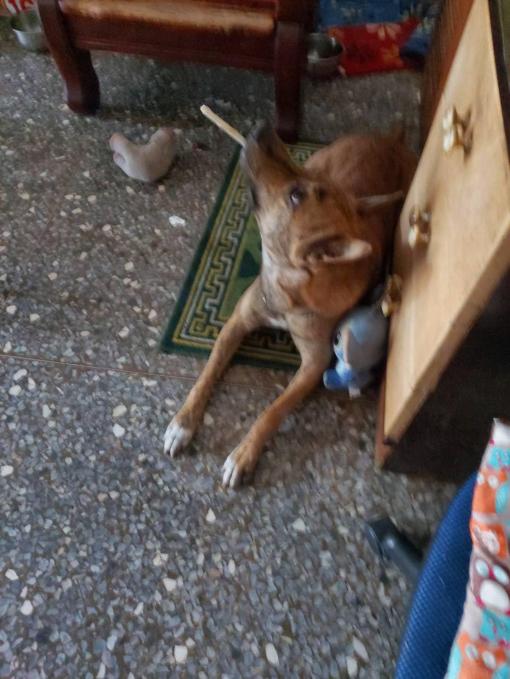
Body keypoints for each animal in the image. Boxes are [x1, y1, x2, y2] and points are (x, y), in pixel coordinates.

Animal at [164, 123, 416, 487]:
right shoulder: (236, 322)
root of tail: (392, 139)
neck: (289, 283)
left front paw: (244, 454)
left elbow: (274, 409)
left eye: (296, 196)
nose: (261, 129)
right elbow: (208, 371)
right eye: (301, 187)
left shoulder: (313, 363)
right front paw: (183, 423)